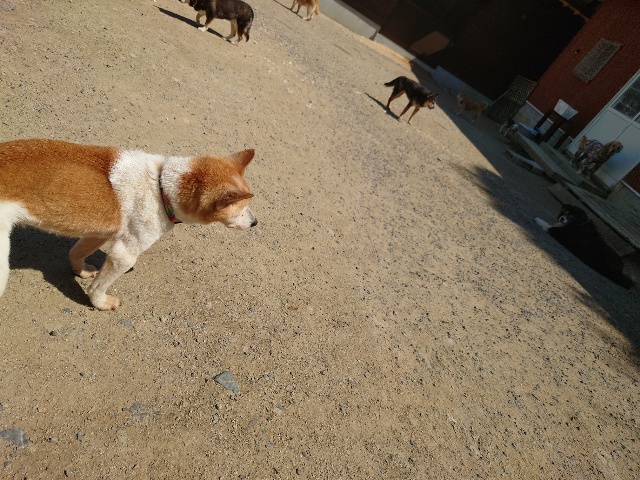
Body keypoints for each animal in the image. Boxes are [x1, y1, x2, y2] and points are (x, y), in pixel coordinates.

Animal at [0, 139, 257, 310]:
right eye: (242, 208)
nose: (255, 222)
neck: (160, 186)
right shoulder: (124, 254)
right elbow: (98, 286)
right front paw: (101, 303)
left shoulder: (100, 232)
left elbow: (77, 252)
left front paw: (80, 271)